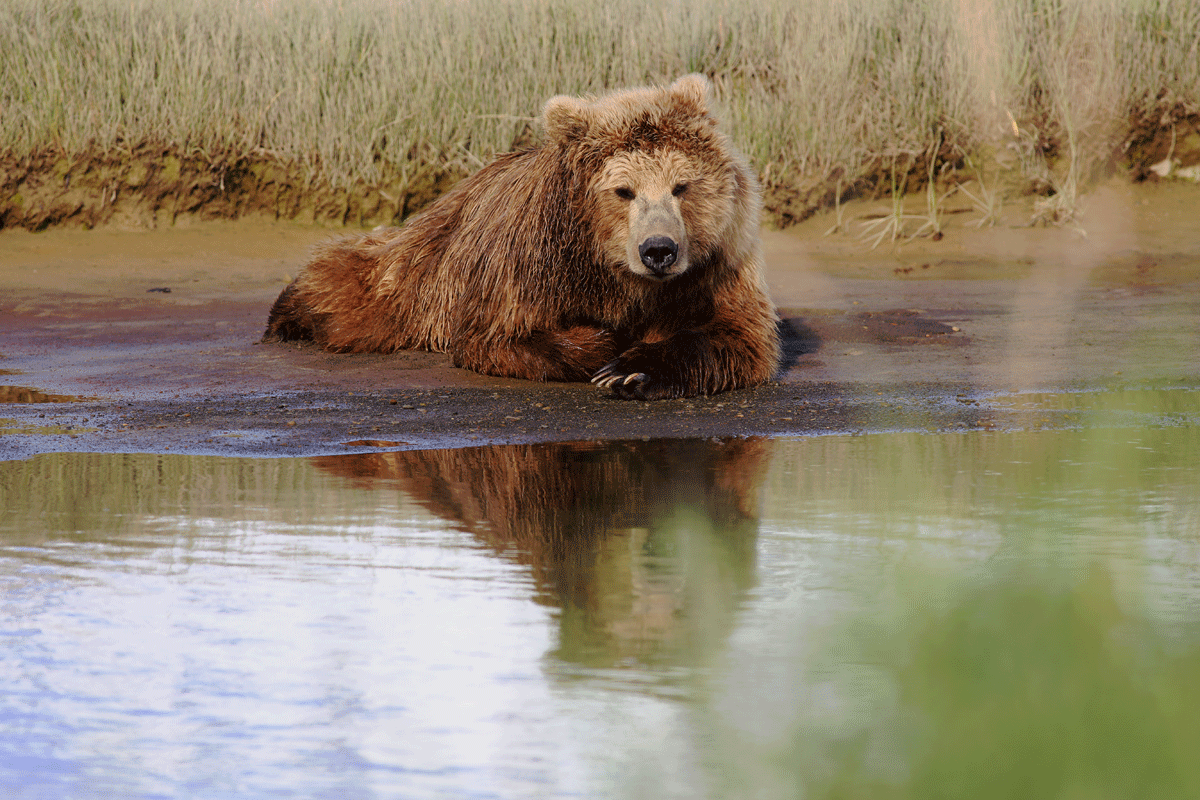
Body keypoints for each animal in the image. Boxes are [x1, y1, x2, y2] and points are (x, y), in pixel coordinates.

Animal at [265, 74, 777, 400]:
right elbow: (501, 336)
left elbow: (739, 336)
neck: (614, 273)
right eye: (623, 190)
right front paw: (607, 350)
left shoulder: (715, 268)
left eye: (681, 186)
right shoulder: (532, 265)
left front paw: (633, 371)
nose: (658, 251)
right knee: (353, 292)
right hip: (416, 270)